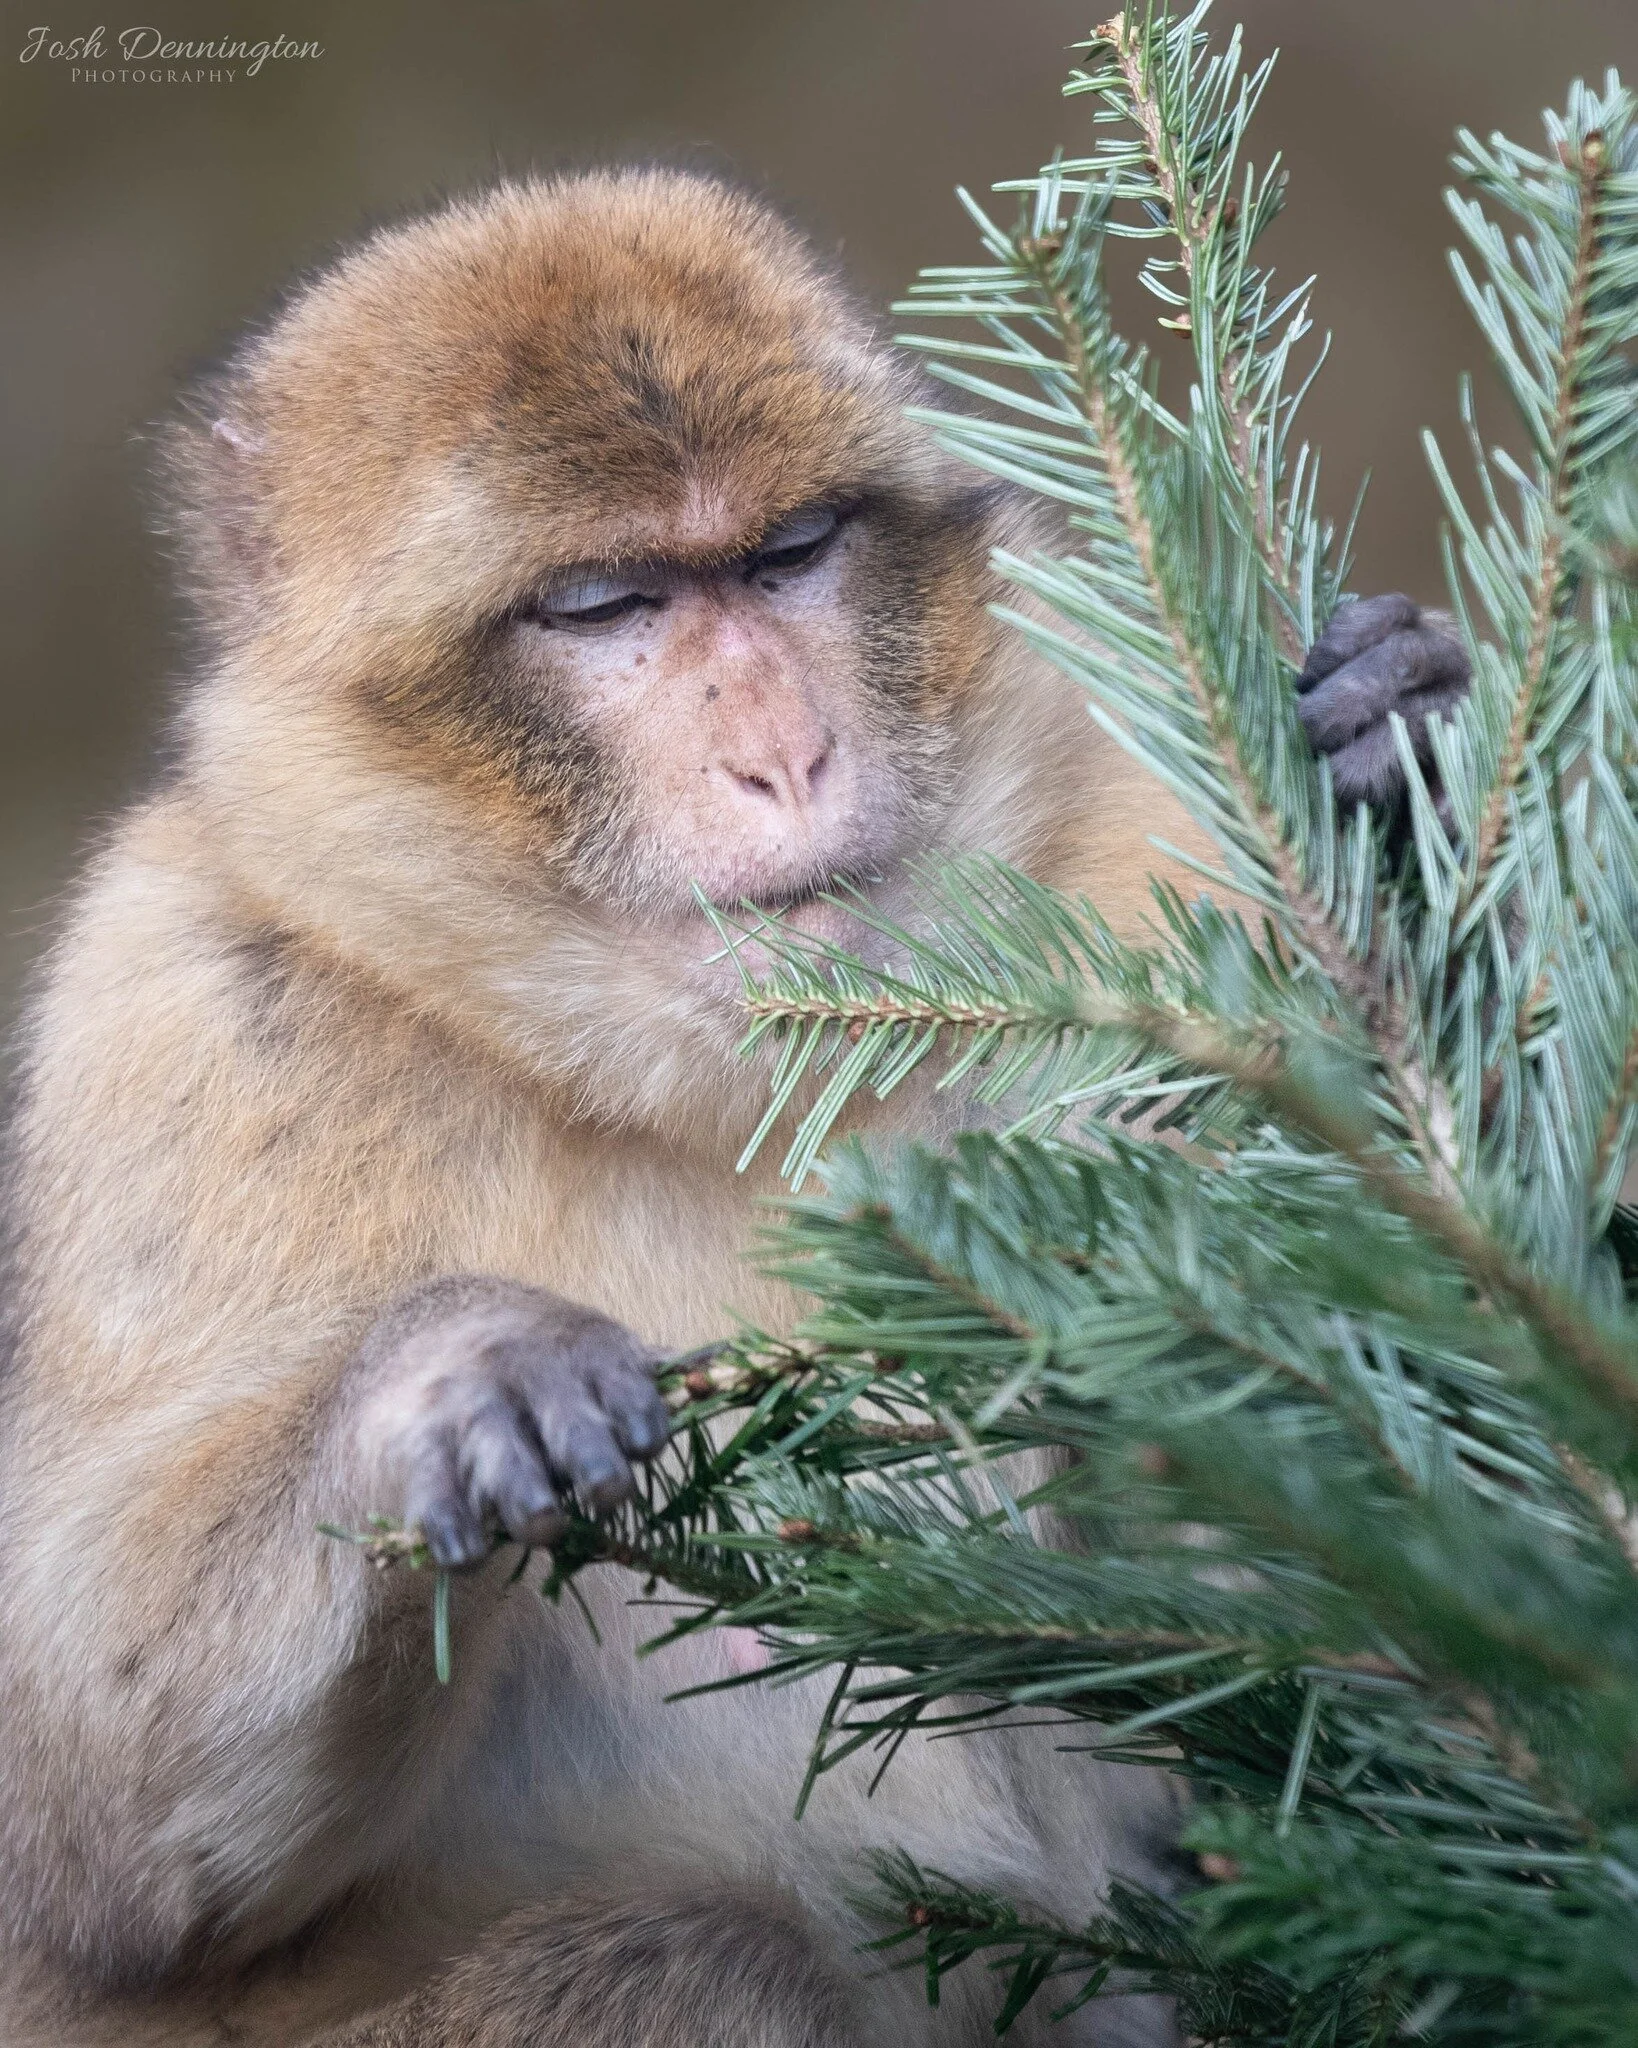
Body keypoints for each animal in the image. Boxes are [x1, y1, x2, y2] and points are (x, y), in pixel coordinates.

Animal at [0, 169, 1469, 2048]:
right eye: (604, 604)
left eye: (786, 556)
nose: (782, 752)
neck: (728, 1088)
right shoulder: (176, 1027)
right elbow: (82, 1854)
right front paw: (437, 1385)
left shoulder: (1134, 816)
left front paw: (1388, 761)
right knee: (697, 1955)